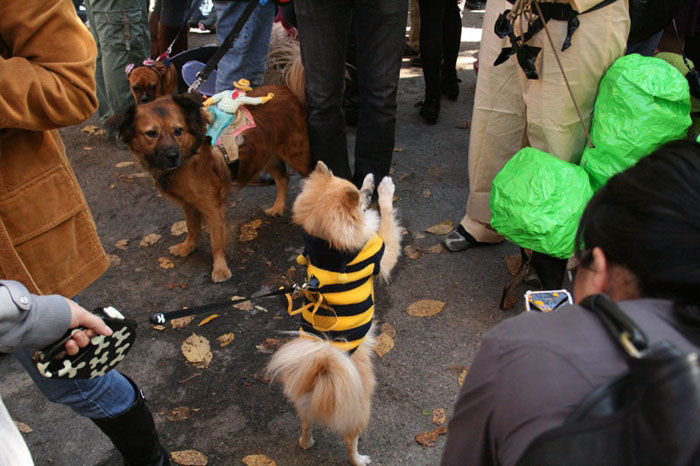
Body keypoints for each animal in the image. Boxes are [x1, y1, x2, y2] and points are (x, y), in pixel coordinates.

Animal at [108, 85, 312, 282]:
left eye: (178, 131)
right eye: (151, 133)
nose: (173, 156)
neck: (190, 153)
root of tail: (284, 89)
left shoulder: (212, 206)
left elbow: (216, 241)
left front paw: (220, 268)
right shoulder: (189, 204)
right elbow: (192, 228)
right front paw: (187, 247)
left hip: (297, 155)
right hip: (266, 155)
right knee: (283, 178)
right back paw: (278, 207)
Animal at [266, 161, 402, 466]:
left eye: (359, 190)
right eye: (361, 198)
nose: (367, 192)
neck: (326, 244)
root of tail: (321, 372)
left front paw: (371, 179)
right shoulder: (381, 255)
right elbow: (388, 222)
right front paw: (384, 190)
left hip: (305, 405)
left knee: (306, 424)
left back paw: (306, 442)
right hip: (359, 408)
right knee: (351, 441)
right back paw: (359, 459)